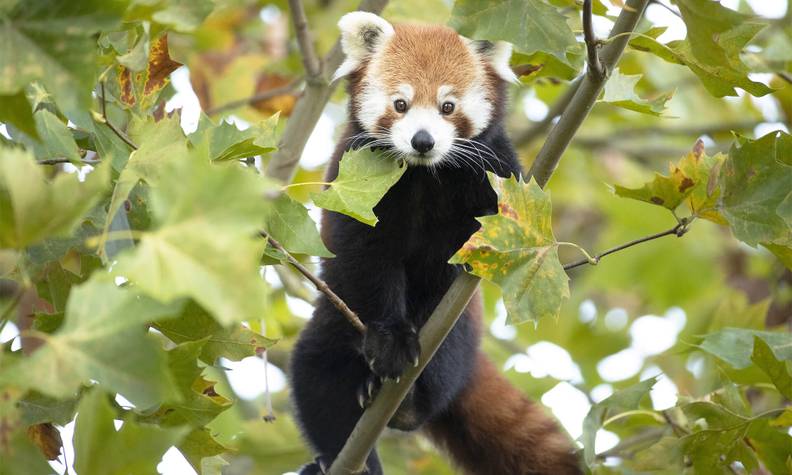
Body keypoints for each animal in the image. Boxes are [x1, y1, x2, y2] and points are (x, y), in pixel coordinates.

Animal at [288, 11, 580, 475]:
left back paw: (409, 402)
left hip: (459, 331)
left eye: (448, 107)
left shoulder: (494, 176)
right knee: (315, 374)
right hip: (334, 319)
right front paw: (390, 340)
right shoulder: (354, 190)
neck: (424, 175)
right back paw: (345, 455)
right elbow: (366, 262)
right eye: (400, 104)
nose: (422, 140)